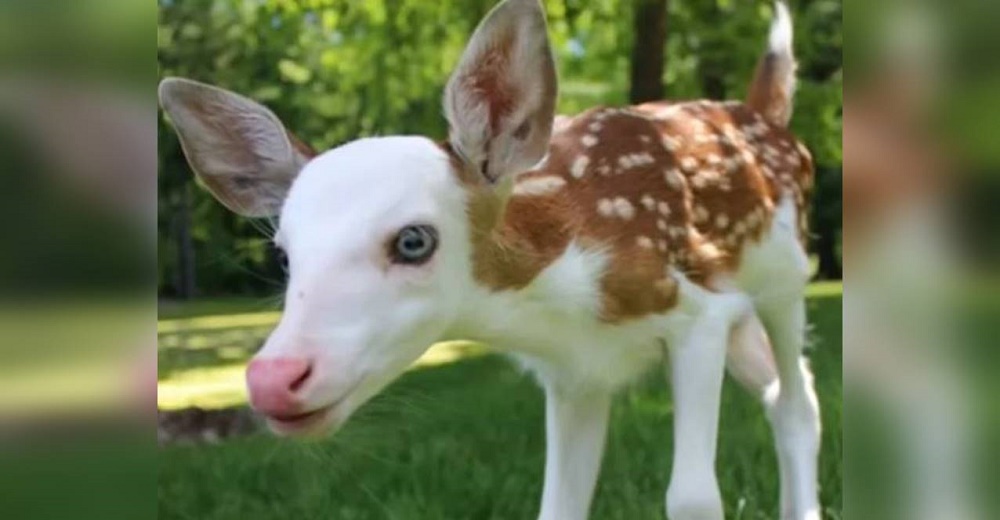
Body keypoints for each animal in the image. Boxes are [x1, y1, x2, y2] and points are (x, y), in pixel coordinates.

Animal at [160, 2, 820, 516]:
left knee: (798, 404)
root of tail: (767, 115)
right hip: (743, 321)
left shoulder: (698, 312)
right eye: (284, 255)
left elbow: (692, 497)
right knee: (777, 394)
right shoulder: (577, 373)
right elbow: (558, 506)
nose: (273, 379)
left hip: (787, 277)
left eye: (414, 240)